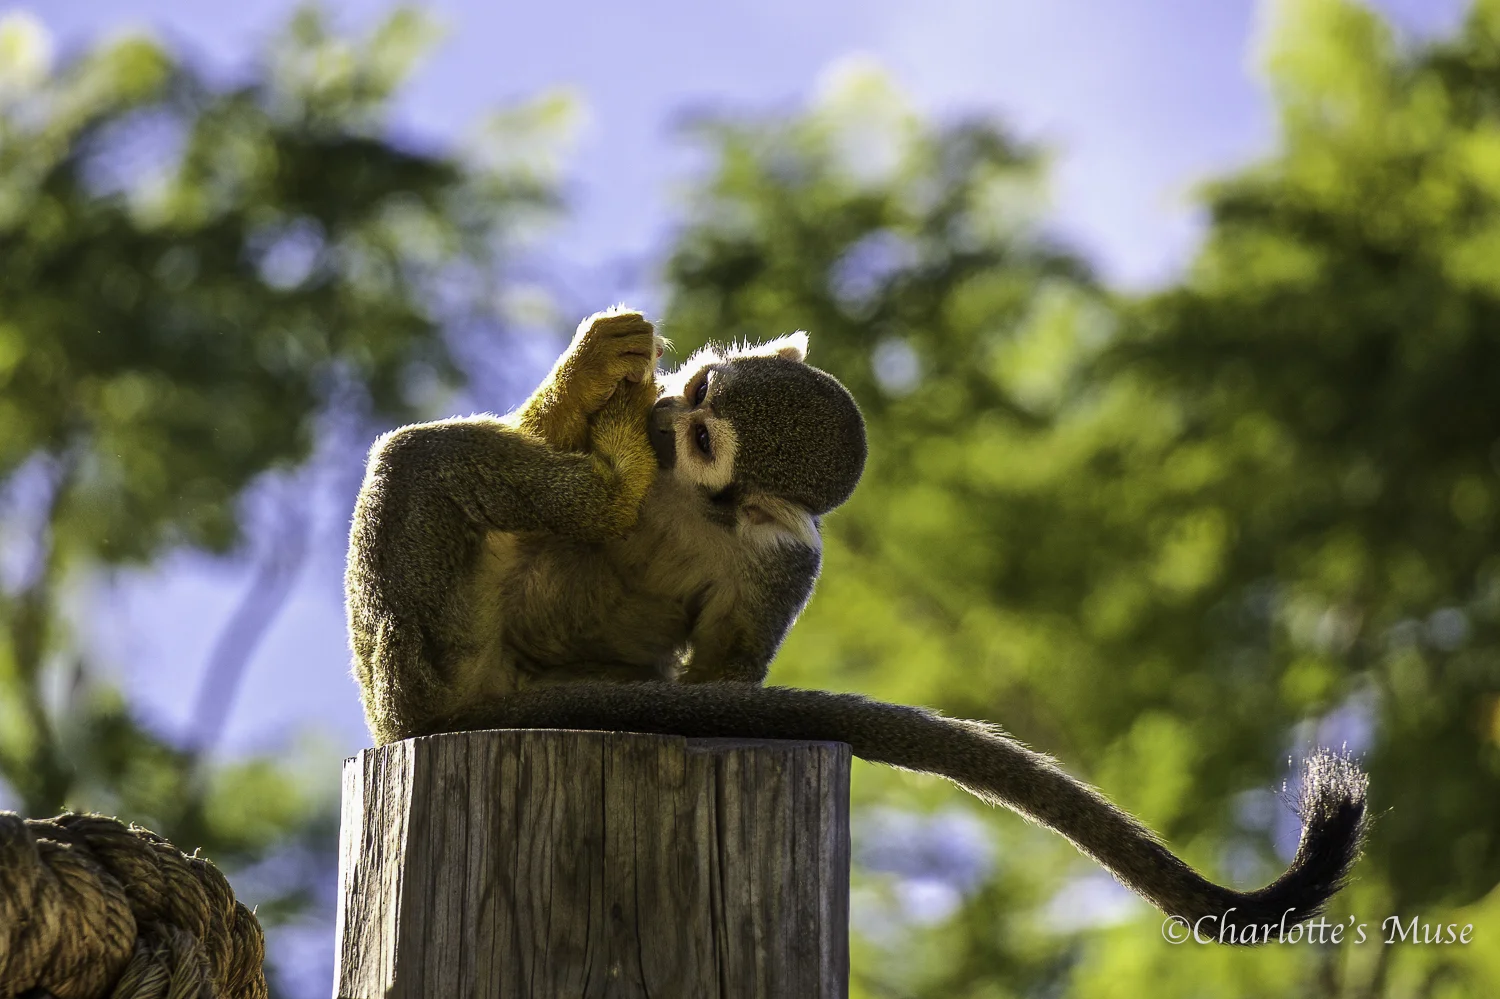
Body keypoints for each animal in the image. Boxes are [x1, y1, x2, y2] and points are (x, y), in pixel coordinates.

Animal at [345, 307, 1368, 938]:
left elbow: (726, 673)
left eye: (704, 436)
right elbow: (538, 431)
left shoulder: (786, 559)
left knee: (420, 463)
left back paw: (607, 489)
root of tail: (417, 715)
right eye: (701, 390)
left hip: (431, 641)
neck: (691, 498)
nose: (667, 409)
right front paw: (601, 367)